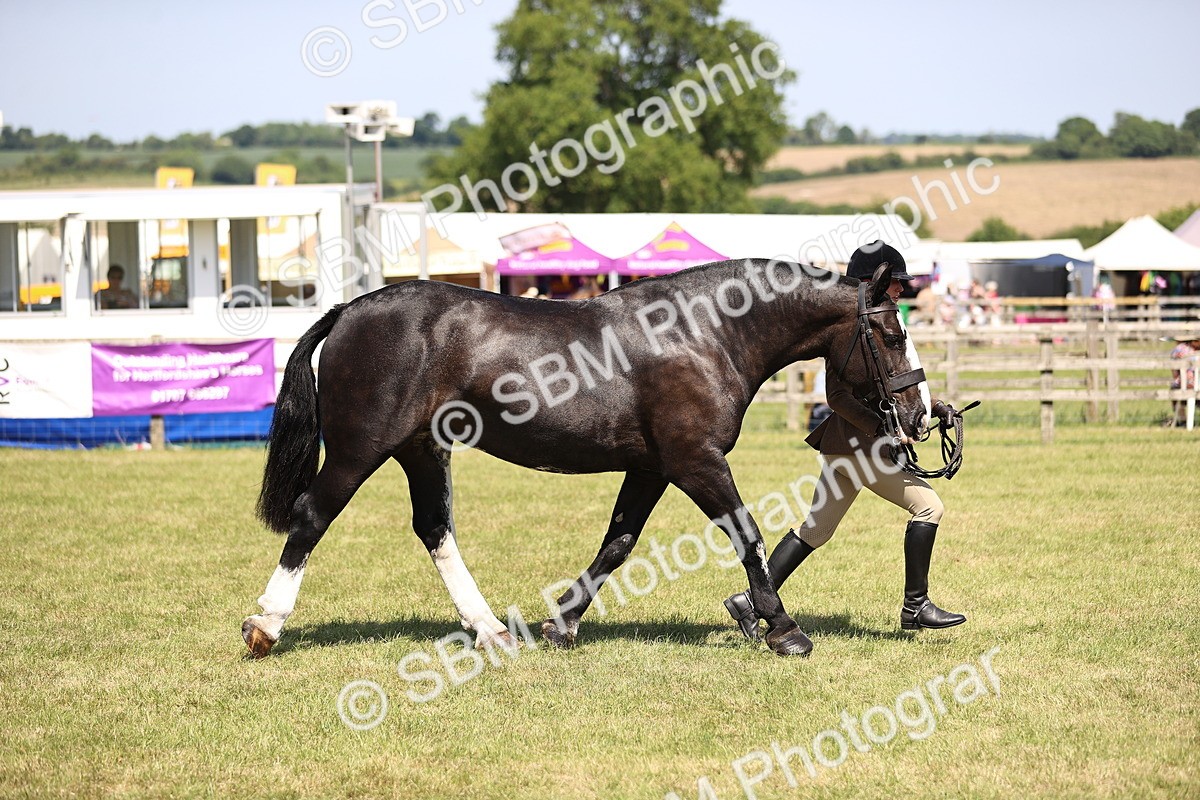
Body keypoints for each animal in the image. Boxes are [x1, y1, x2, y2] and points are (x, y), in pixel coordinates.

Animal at [242, 257, 930, 659]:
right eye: (892, 332)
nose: (921, 414)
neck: (702, 332)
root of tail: (348, 311)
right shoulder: (696, 462)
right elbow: (748, 534)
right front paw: (783, 630)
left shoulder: (652, 468)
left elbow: (617, 544)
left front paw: (562, 624)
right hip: (361, 450)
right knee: (312, 517)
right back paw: (266, 627)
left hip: (420, 451)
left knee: (434, 529)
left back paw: (492, 630)